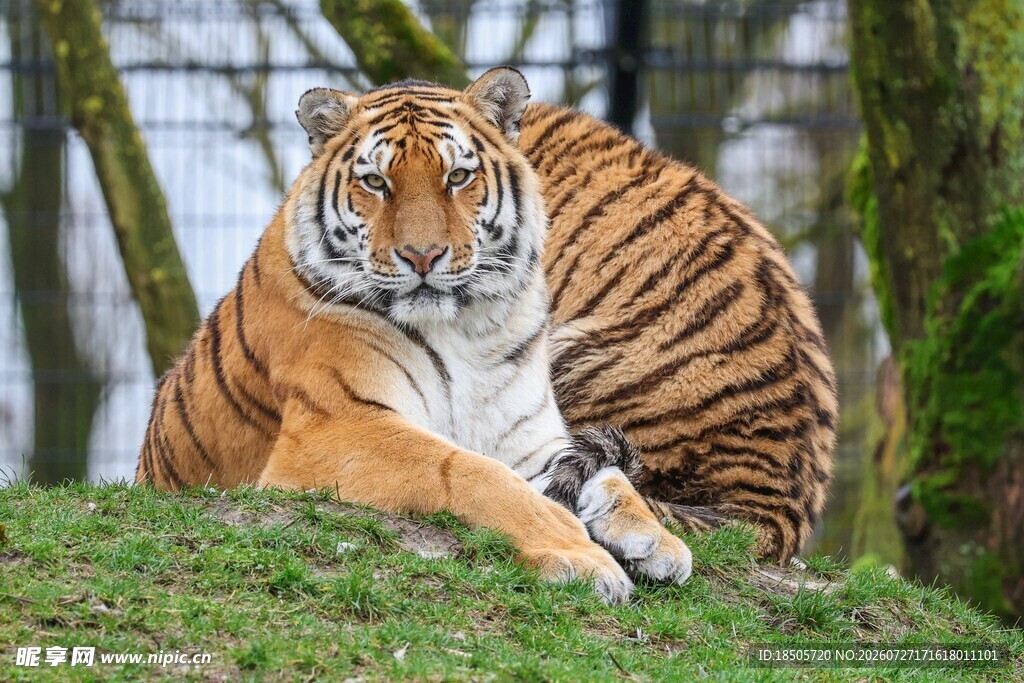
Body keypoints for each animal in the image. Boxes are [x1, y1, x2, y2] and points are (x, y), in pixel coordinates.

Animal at [136, 67, 694, 603]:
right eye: (375, 182)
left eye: (458, 176)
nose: (421, 256)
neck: (466, 328)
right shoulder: (338, 429)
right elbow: (468, 470)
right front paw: (578, 554)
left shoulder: (529, 437)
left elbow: (609, 476)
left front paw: (655, 540)